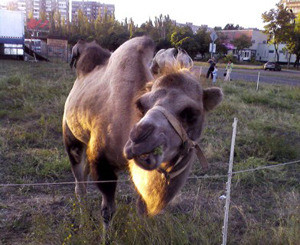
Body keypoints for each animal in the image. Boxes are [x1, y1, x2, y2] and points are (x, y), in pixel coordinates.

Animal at [62, 36, 223, 230]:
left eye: (191, 113)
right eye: (141, 105)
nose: (139, 139)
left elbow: (142, 209)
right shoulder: (102, 163)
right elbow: (107, 211)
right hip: (71, 134)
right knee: (79, 183)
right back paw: (83, 220)